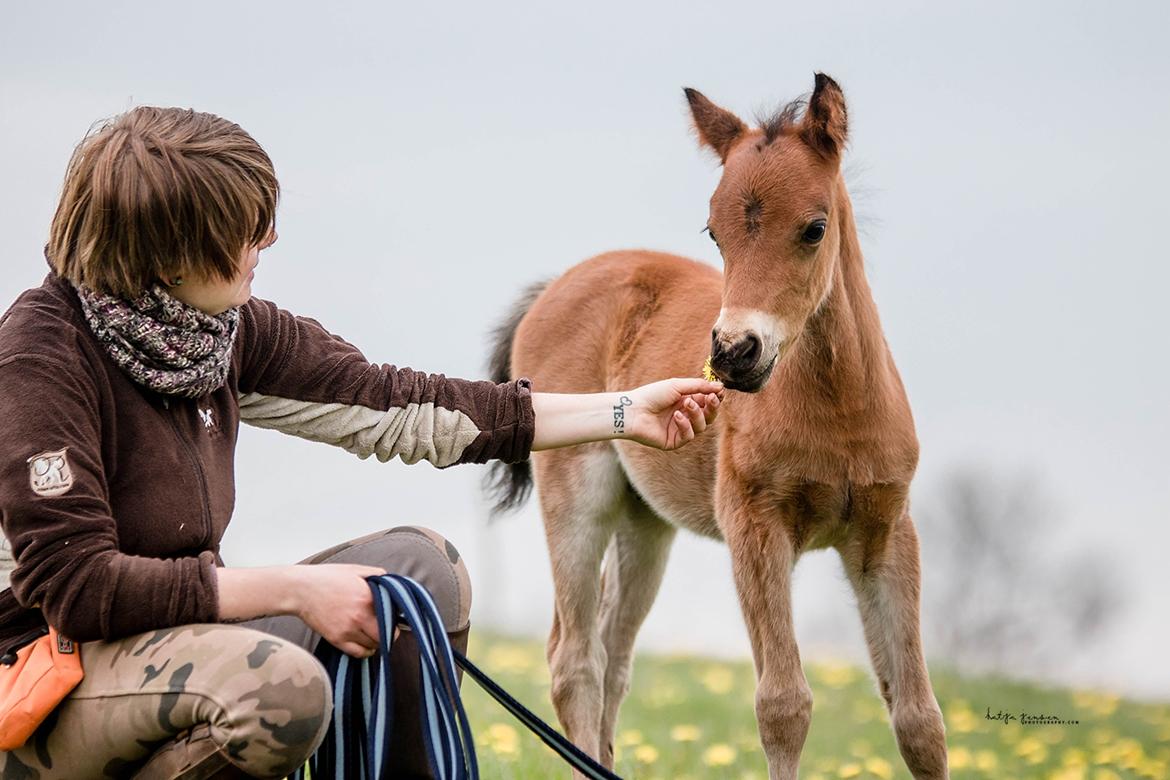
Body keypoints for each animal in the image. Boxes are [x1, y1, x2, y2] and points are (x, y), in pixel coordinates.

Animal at [484, 74, 950, 780]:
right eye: (713, 232)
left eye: (814, 228)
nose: (734, 354)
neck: (838, 411)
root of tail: (555, 287)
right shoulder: (754, 527)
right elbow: (783, 705)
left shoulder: (886, 533)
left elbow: (921, 720)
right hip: (577, 493)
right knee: (574, 660)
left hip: (645, 523)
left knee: (614, 657)